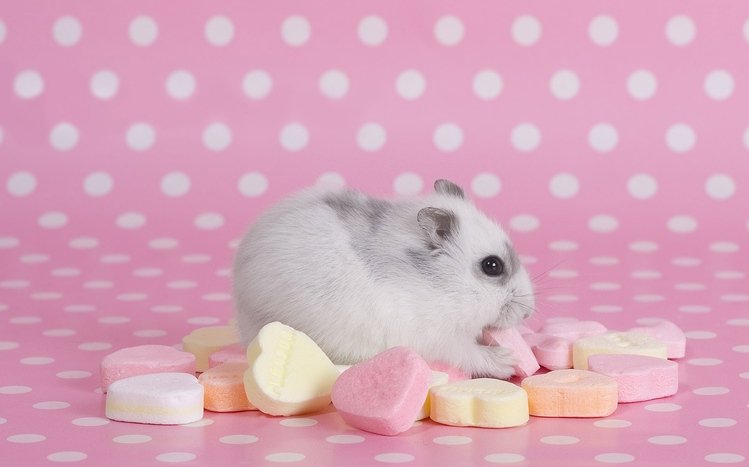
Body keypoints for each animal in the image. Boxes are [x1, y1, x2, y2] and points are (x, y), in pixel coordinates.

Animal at [232, 179, 535, 379]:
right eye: (492, 266)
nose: (529, 313)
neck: (440, 287)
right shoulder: (436, 338)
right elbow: (467, 352)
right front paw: (507, 361)